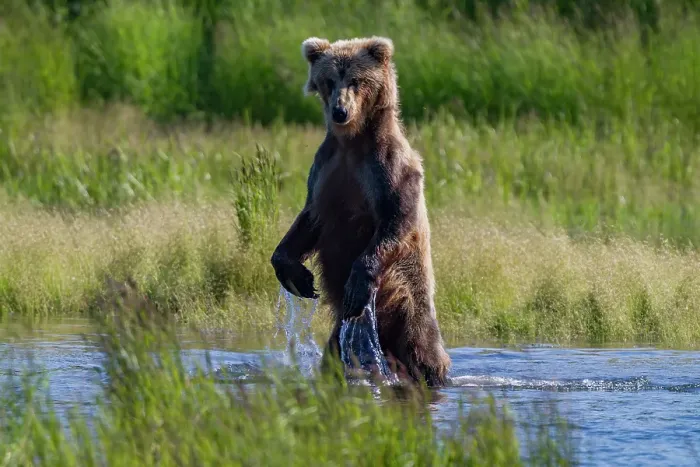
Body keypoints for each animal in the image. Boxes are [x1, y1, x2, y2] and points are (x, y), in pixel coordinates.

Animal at [270, 35, 451, 387]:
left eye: (356, 80)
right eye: (329, 80)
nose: (340, 111)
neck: (352, 142)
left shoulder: (386, 168)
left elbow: (396, 220)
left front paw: (357, 282)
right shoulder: (326, 170)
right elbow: (308, 220)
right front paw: (298, 276)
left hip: (409, 303)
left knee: (424, 351)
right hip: (343, 333)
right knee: (336, 353)